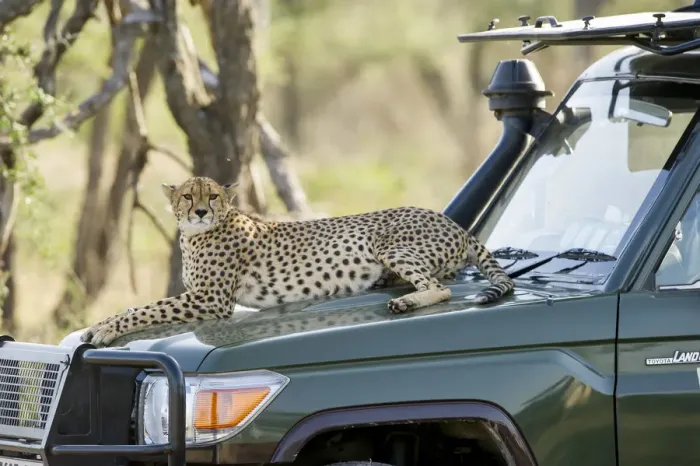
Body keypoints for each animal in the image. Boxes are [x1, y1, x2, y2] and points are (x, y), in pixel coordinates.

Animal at [81, 176, 515, 347]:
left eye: (213, 196)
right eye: (188, 196)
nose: (201, 211)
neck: (196, 235)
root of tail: (454, 223)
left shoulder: (211, 300)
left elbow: (142, 309)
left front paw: (104, 328)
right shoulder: (202, 296)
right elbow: (142, 306)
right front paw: (97, 326)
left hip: (388, 243)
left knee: (439, 288)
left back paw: (407, 301)